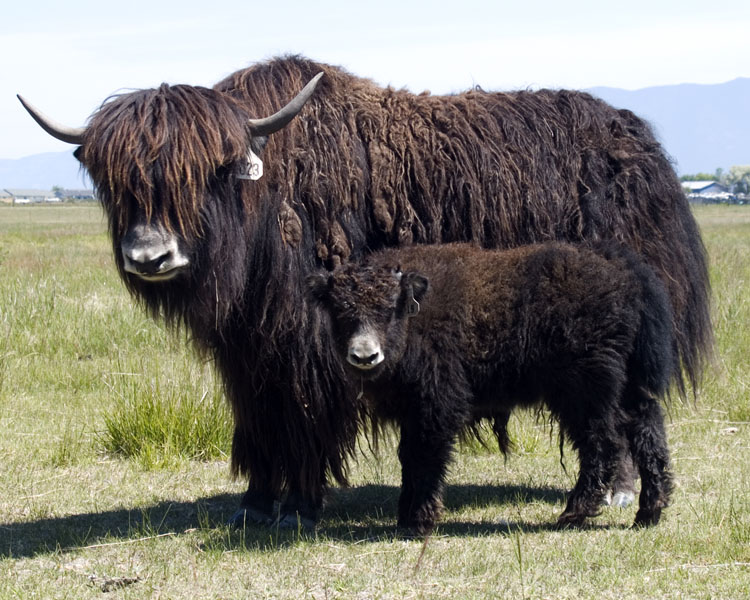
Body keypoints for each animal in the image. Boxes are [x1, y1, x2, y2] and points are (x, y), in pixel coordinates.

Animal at [308, 244, 680, 536]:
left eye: (388, 308)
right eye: (340, 309)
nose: (364, 356)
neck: (415, 316)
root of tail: (624, 271)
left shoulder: (437, 405)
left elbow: (426, 456)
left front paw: (419, 521)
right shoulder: (411, 411)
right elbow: (408, 457)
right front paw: (405, 516)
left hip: (586, 392)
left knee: (603, 443)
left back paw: (573, 513)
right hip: (628, 387)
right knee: (647, 428)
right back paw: (649, 512)